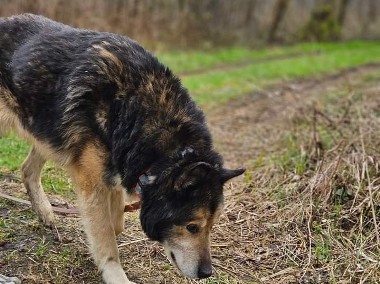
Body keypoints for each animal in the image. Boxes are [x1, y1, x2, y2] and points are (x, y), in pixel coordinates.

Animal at [0, 14, 245, 282]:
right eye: (192, 227)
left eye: (212, 225)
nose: (206, 273)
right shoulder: (92, 186)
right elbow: (106, 239)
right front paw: (116, 275)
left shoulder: (116, 167)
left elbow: (116, 220)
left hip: (46, 132)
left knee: (27, 170)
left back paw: (45, 212)